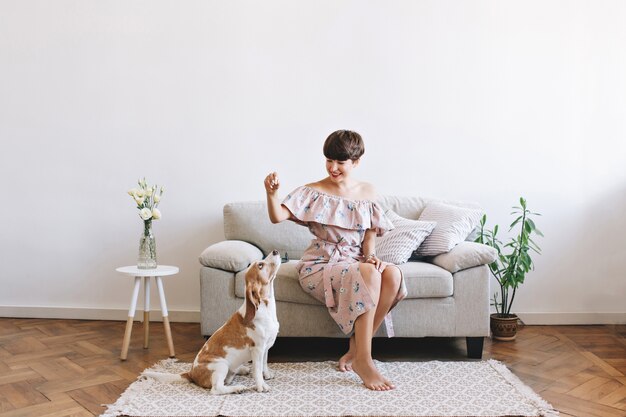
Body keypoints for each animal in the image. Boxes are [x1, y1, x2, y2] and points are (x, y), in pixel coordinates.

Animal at [144, 250, 280, 394]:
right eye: (260, 265)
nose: (275, 251)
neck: (266, 308)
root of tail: (191, 373)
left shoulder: (265, 348)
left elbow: (264, 364)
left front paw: (267, 375)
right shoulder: (257, 350)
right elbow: (257, 371)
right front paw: (261, 386)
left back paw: (241, 370)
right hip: (221, 365)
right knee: (217, 388)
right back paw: (237, 388)